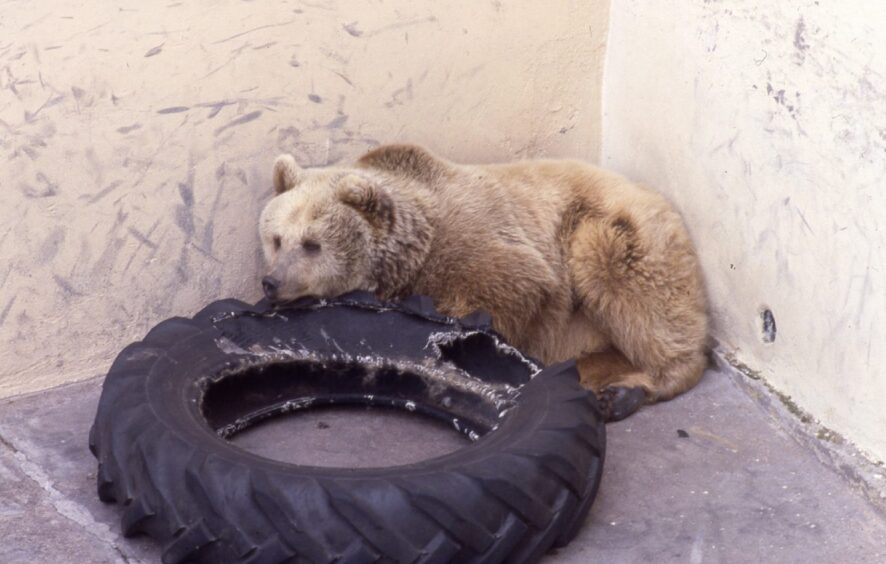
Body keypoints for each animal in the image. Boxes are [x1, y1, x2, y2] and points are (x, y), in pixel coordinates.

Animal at [258, 144, 708, 421]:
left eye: (312, 244)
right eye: (277, 238)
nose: (271, 282)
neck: (412, 253)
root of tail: (657, 197)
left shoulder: (480, 247)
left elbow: (505, 292)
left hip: (612, 232)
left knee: (635, 293)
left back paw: (637, 388)